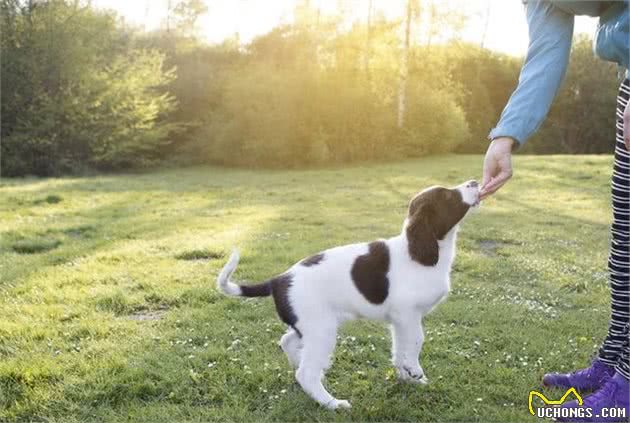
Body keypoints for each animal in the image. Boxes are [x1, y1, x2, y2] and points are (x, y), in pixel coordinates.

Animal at [215, 180, 482, 410]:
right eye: (447, 196)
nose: (475, 182)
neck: (417, 251)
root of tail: (278, 280)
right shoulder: (408, 314)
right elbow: (416, 341)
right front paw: (414, 370)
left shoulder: (399, 320)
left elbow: (399, 348)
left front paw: (406, 377)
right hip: (321, 330)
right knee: (306, 373)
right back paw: (333, 403)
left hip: (309, 327)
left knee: (288, 342)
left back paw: (300, 369)